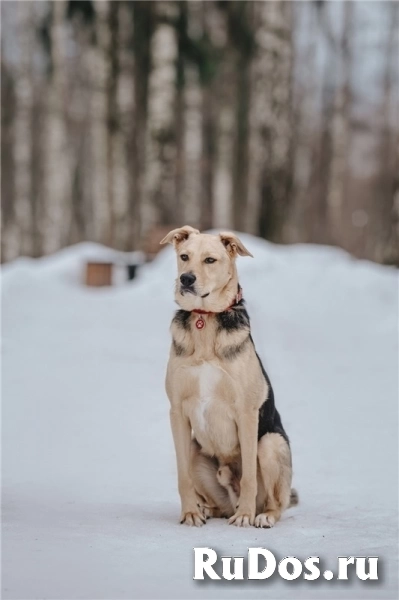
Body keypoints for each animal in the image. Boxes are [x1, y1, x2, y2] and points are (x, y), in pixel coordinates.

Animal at [160, 225, 296, 524]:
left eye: (210, 260)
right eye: (184, 256)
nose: (186, 279)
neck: (205, 318)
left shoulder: (246, 412)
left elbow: (248, 478)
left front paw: (244, 517)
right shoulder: (177, 411)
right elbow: (182, 476)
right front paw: (189, 512)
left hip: (270, 443)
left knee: (276, 503)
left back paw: (260, 515)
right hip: (195, 449)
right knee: (220, 506)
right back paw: (207, 509)